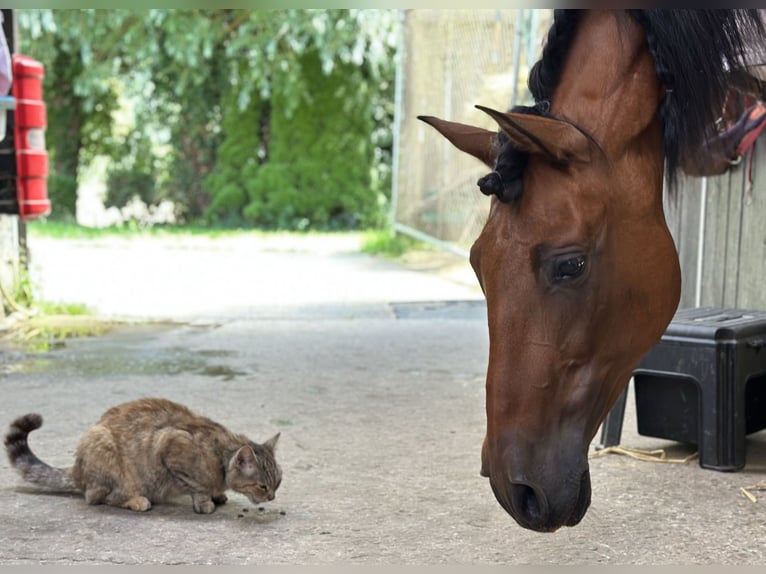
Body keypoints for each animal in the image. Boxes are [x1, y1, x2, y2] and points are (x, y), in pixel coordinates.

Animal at [4, 398, 280, 516]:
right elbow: (197, 486)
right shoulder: (169, 444)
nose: (272, 497)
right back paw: (136, 501)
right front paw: (205, 501)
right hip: (106, 452)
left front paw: (217, 494)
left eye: (277, 483)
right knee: (98, 497)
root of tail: (77, 469)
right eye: (262, 486)